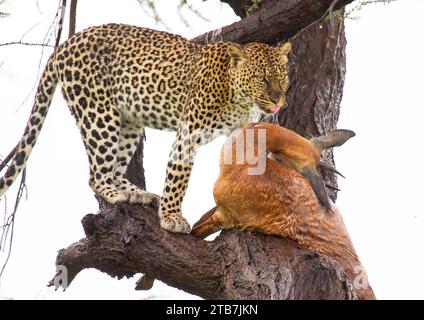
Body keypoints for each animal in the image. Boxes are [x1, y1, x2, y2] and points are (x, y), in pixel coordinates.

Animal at [0, 22, 292, 232]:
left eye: (282, 77)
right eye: (261, 78)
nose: (277, 100)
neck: (240, 98)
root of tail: (66, 44)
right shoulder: (189, 132)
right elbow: (178, 176)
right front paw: (172, 217)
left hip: (129, 121)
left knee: (117, 167)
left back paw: (137, 194)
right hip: (98, 114)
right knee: (96, 174)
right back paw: (115, 194)